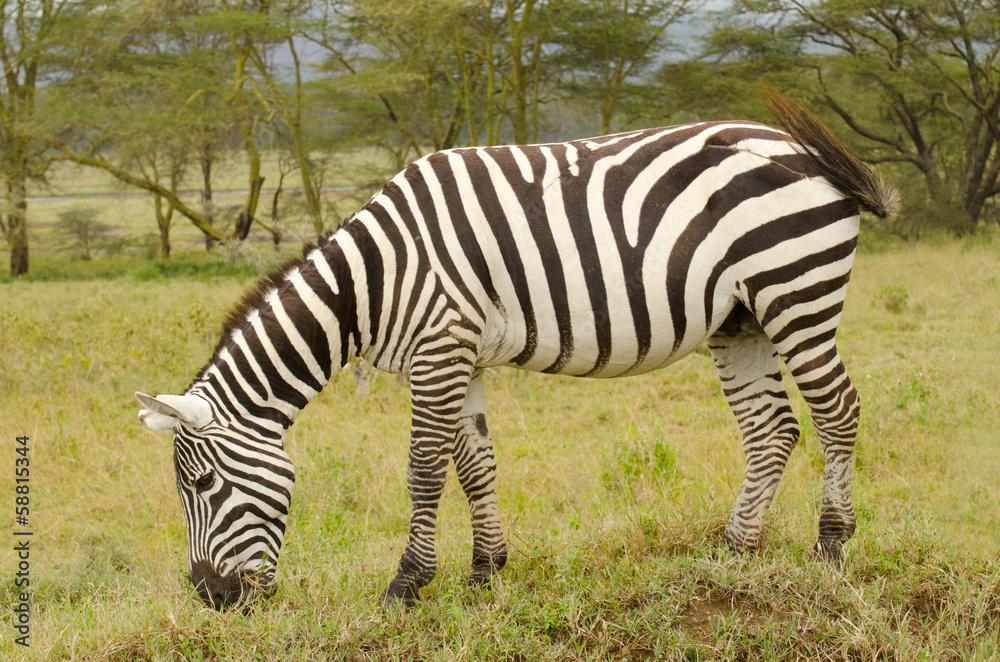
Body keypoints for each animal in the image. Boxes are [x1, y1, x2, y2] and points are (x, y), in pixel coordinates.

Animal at [135, 85, 900, 616]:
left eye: (201, 486)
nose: (211, 598)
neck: (374, 279)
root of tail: (807, 153)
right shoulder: (462, 353)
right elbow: (475, 465)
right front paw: (485, 571)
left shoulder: (439, 348)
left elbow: (423, 470)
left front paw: (405, 585)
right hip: (740, 320)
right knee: (772, 429)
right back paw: (735, 550)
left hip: (795, 290)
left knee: (837, 411)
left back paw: (830, 544)